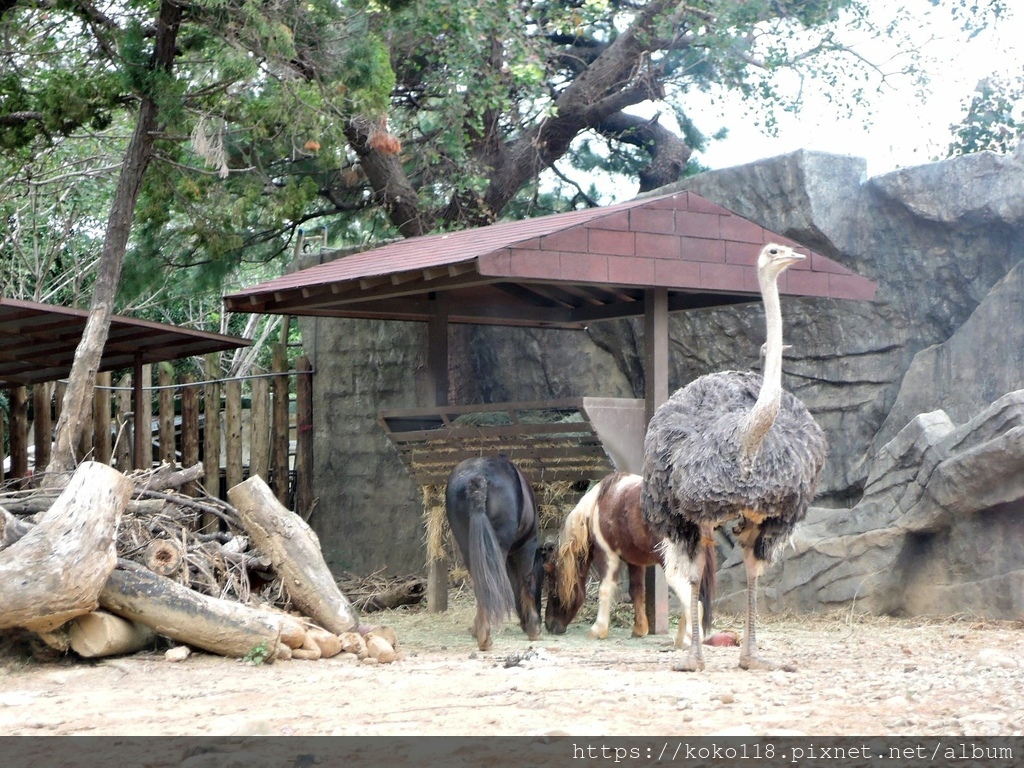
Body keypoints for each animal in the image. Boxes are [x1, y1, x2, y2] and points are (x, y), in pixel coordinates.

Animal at [446, 456, 544, 651]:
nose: (542, 620)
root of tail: (478, 479)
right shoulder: (528, 546)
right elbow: (526, 582)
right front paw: (534, 629)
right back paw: (485, 638)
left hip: (468, 546)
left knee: (481, 585)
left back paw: (482, 633)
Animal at [544, 473, 712, 647]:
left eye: (553, 591)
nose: (549, 625)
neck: (596, 508)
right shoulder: (635, 561)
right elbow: (636, 591)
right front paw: (639, 629)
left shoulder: (607, 555)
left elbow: (605, 589)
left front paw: (598, 630)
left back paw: (688, 640)